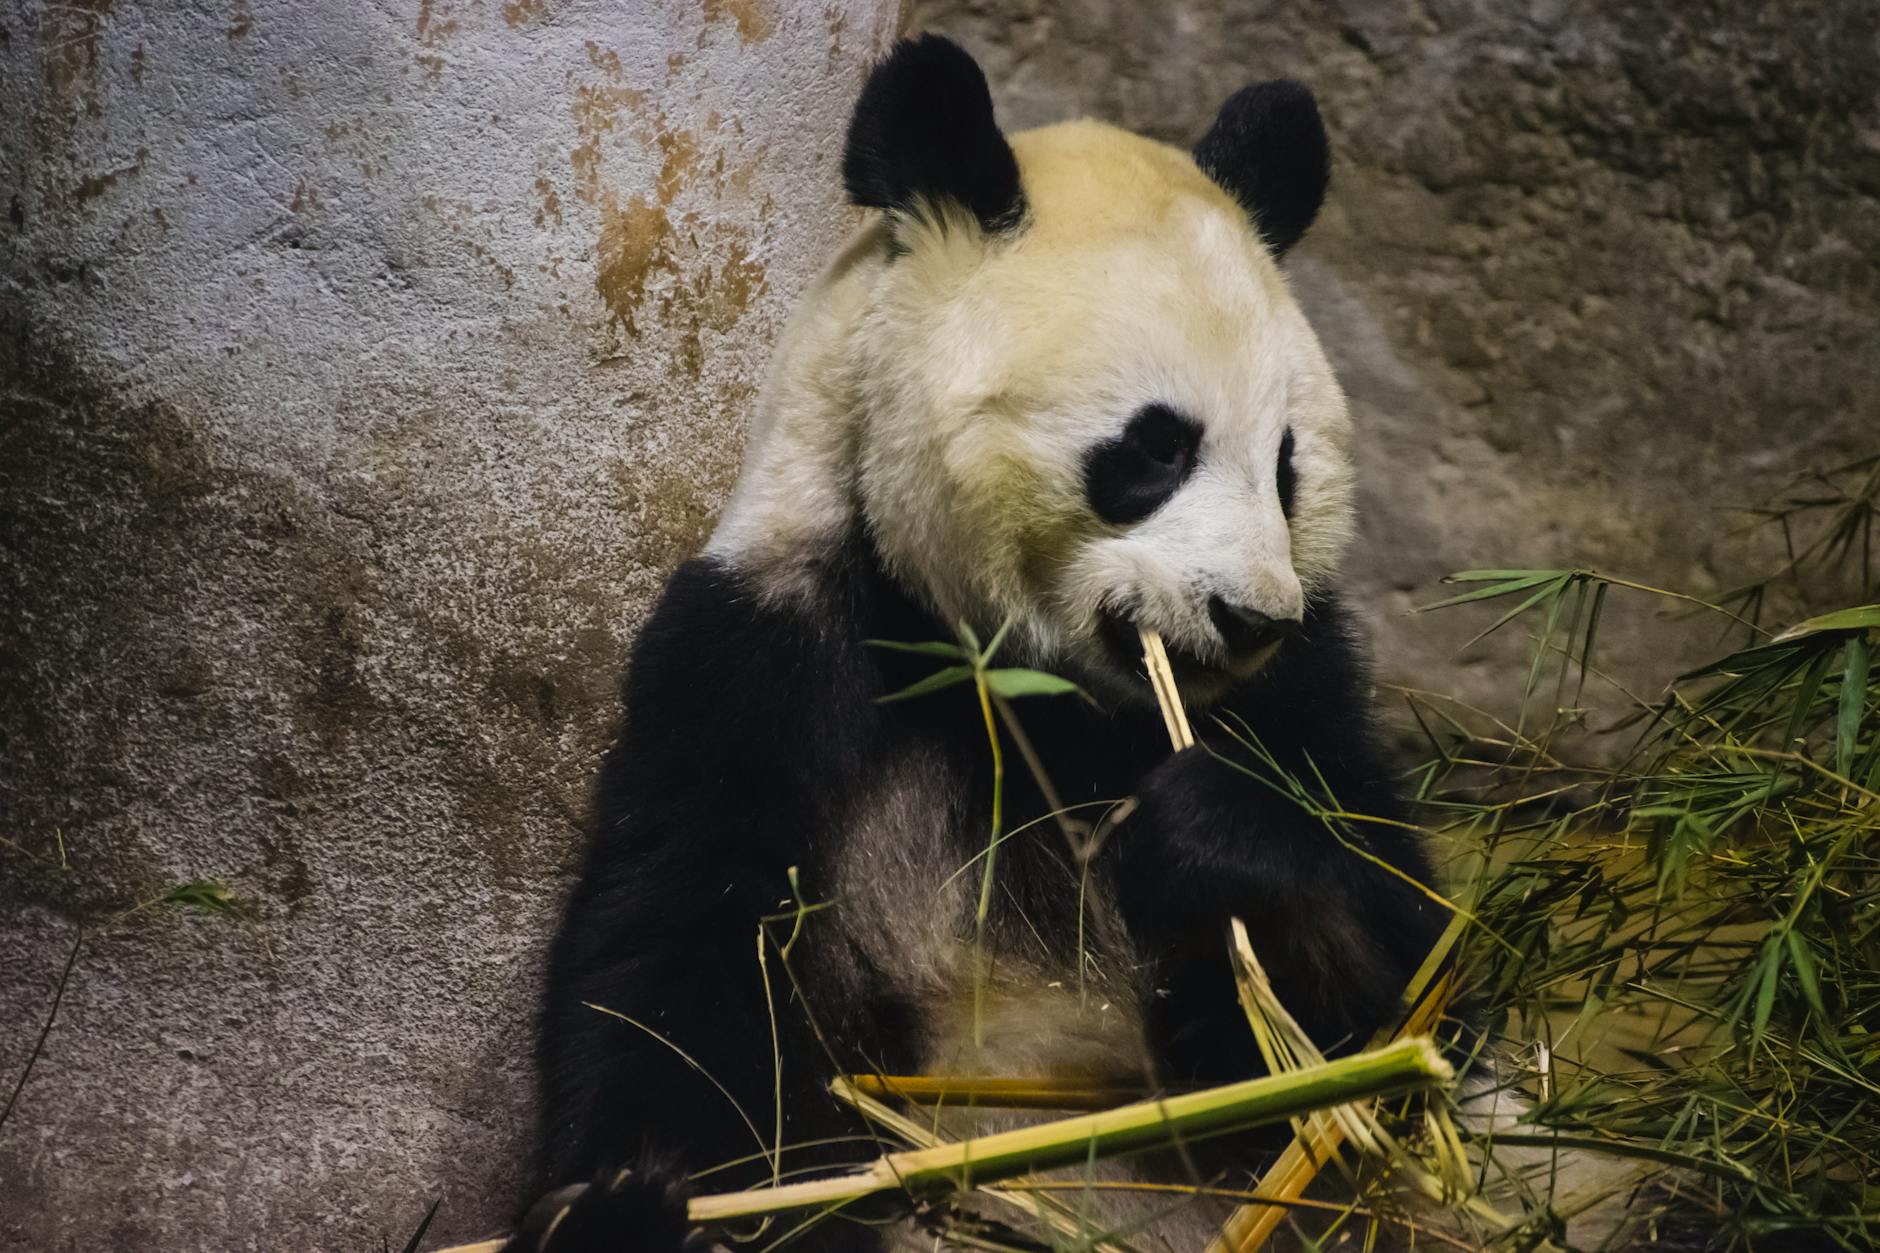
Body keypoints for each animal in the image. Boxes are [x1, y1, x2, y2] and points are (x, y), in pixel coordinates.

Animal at [506, 34, 1445, 1253]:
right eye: (1155, 447)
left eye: (1287, 465)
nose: (1247, 619)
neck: (1030, 694)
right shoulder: (764, 644)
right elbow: (675, 952)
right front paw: (634, 1200)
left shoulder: (1306, 692)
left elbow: (1409, 985)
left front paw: (1209, 838)